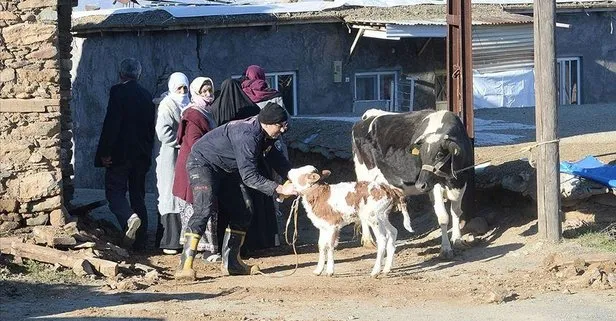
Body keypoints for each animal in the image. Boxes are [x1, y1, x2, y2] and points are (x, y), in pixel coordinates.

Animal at [352, 108, 472, 258]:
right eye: (421, 156)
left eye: (439, 155)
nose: (420, 185)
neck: (451, 180)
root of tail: (368, 115)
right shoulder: (434, 187)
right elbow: (443, 217)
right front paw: (446, 249)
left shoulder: (462, 182)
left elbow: (456, 212)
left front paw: (457, 240)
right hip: (364, 177)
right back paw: (369, 241)